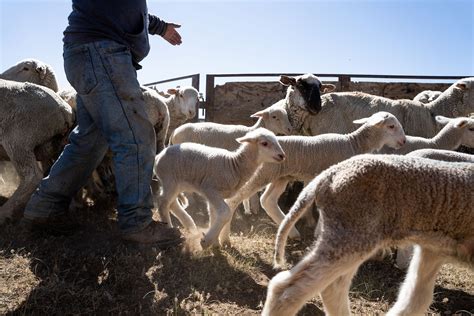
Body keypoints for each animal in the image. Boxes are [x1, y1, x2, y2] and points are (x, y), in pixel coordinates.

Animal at [154, 127, 286, 248]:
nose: (282, 156)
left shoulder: (217, 195)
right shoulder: (210, 190)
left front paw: (215, 243)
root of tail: (158, 156)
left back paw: (190, 227)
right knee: (163, 203)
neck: (233, 166)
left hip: (176, 183)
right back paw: (168, 228)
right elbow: (225, 213)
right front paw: (207, 241)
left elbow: (214, 214)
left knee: (172, 203)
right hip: (169, 179)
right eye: (264, 143)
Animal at [220, 111, 406, 242]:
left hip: (281, 176)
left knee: (268, 201)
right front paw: (320, 232)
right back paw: (224, 239)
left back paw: (292, 232)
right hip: (261, 174)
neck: (353, 144)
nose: (403, 141)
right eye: (391, 126)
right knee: (233, 200)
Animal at [264, 154, 472, 316]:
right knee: (289, 290)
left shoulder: (433, 250)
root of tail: (328, 174)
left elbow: (415, 299)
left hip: (346, 234)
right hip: (354, 234)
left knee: (330, 286)